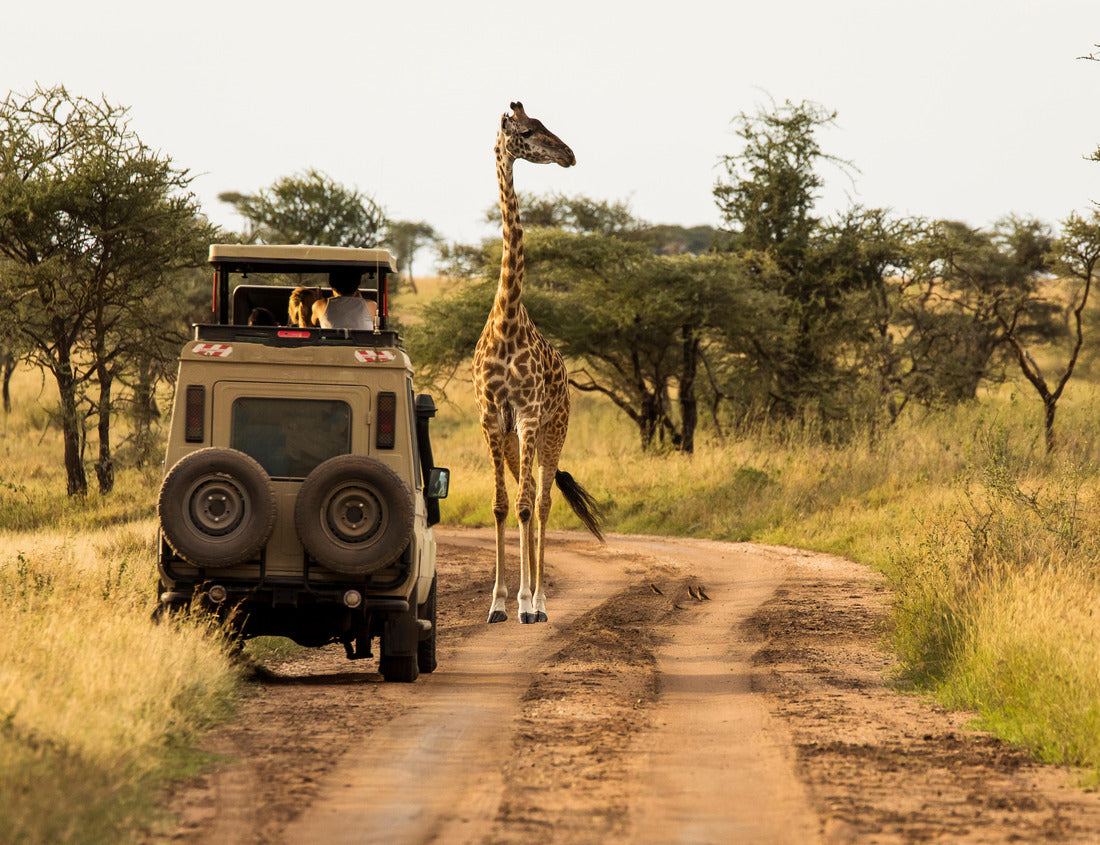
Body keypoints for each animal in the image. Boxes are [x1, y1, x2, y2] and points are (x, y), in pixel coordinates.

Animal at [473, 101, 604, 625]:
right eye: (527, 131)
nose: (569, 154)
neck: (508, 318)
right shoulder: (493, 418)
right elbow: (501, 504)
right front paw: (497, 604)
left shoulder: (529, 416)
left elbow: (528, 505)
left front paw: (527, 603)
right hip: (515, 439)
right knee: (524, 495)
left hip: (554, 430)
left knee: (544, 501)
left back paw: (541, 601)